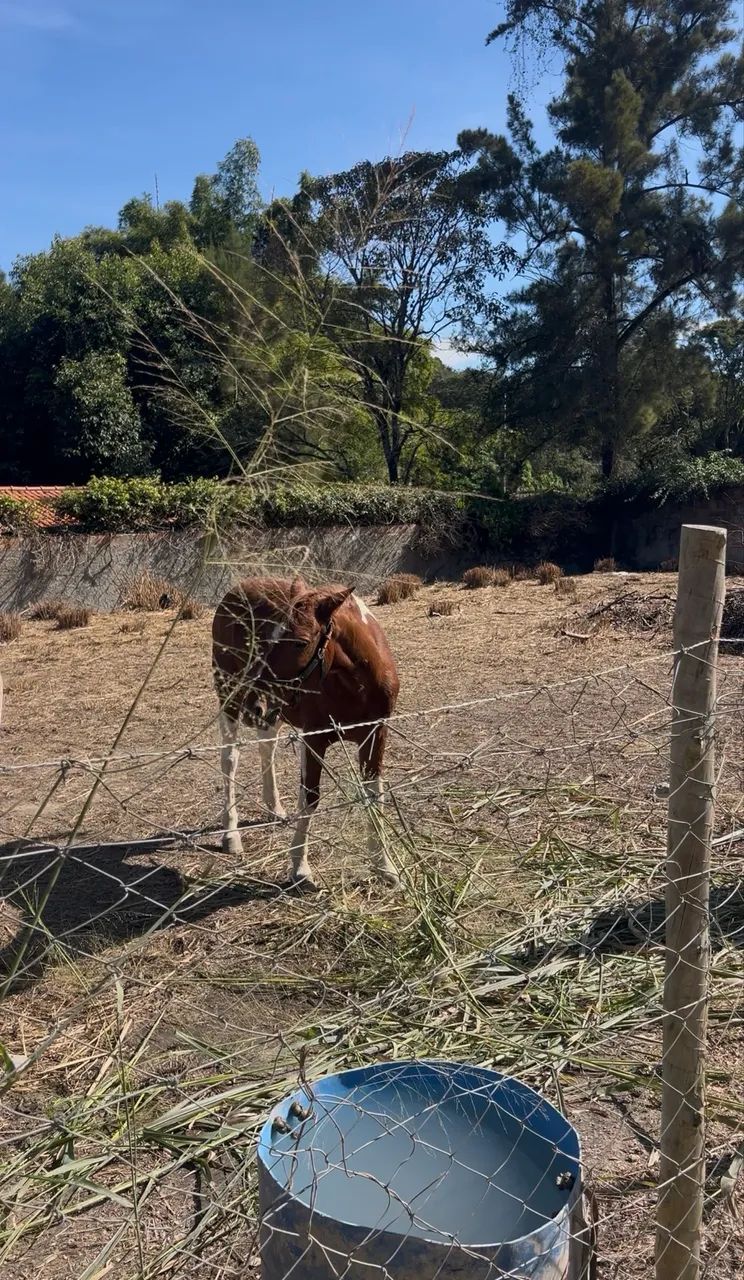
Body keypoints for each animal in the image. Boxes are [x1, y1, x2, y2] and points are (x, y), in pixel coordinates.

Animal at [212, 576, 400, 889]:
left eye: (299, 642)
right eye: (267, 639)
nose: (254, 703)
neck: (355, 683)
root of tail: (235, 590)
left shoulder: (375, 735)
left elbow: (374, 795)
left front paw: (385, 867)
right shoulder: (314, 738)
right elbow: (310, 797)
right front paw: (300, 868)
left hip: (274, 711)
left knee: (267, 746)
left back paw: (274, 808)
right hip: (232, 697)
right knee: (230, 759)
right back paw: (231, 834)